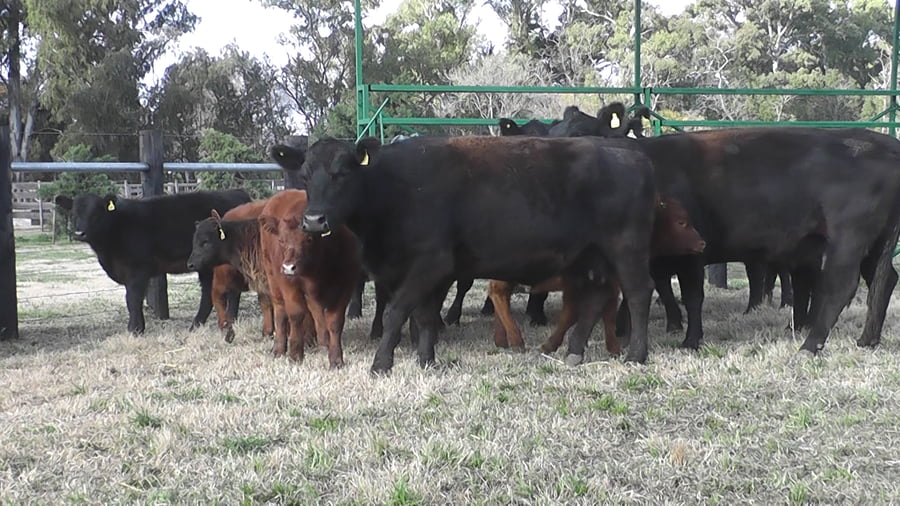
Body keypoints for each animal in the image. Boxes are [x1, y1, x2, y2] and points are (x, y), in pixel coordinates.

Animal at [56, 189, 251, 334]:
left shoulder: (137, 270)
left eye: (96, 214)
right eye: (73, 213)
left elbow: (133, 299)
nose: (80, 233)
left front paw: (135, 330)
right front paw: (137, 328)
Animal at [258, 189, 361, 367]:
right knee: (280, 310)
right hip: (272, 277)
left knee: (315, 309)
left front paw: (336, 359)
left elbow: (335, 322)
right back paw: (279, 348)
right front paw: (295, 354)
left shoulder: (345, 286)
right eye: (281, 241)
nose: (288, 267)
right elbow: (296, 314)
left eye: (309, 239)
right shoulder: (289, 284)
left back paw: (324, 342)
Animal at [298, 135, 659, 375]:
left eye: (342, 173)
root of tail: (630, 154)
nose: (314, 220)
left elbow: (396, 312)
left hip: (626, 250)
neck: (395, 188)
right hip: (592, 257)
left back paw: (636, 355)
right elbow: (425, 316)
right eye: (305, 175)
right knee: (597, 299)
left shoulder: (430, 263)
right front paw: (426, 360)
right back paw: (574, 352)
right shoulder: (427, 274)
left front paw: (381, 364)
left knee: (639, 293)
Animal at [488, 195, 705, 355]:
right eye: (681, 222)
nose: (702, 243)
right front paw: (552, 344)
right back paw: (516, 340)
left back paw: (501, 340)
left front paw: (611, 347)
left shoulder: (605, 284)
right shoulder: (582, 285)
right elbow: (575, 315)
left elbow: (602, 313)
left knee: (499, 297)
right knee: (498, 294)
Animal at [635, 128, 900, 355]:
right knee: (883, 280)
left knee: (841, 286)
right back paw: (867, 340)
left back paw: (809, 345)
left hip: (848, 239)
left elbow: (692, 297)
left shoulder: (690, 254)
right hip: (875, 244)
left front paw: (690, 341)